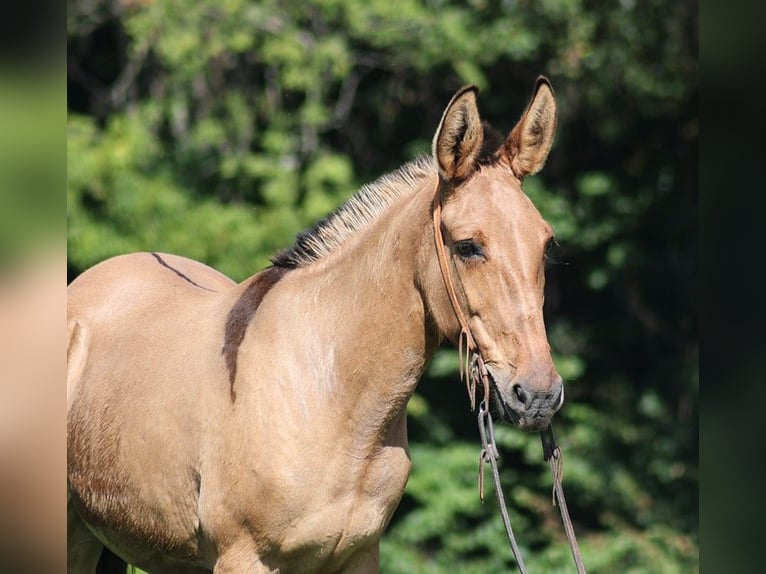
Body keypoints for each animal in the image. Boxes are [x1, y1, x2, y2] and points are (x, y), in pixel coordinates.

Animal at [67, 77, 562, 573]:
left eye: (546, 244)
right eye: (467, 246)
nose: (538, 394)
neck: (329, 398)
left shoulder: (359, 556)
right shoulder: (242, 558)